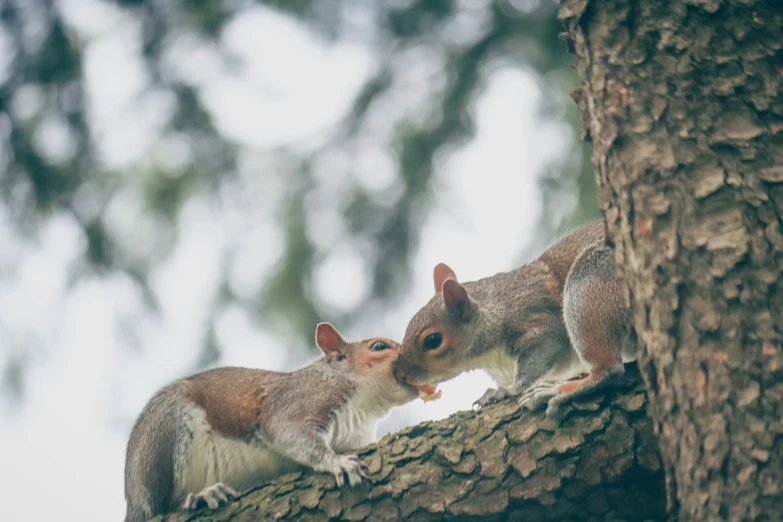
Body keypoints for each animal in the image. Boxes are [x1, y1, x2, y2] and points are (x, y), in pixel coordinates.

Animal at [125, 320, 428, 520]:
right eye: (379, 346)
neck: (365, 406)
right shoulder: (298, 402)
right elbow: (291, 434)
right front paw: (337, 462)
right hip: (167, 435)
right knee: (162, 506)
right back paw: (202, 496)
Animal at [398, 219, 636, 414]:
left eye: (433, 340)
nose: (401, 375)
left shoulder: (536, 322)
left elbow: (545, 347)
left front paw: (507, 390)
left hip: (589, 283)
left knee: (609, 369)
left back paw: (556, 391)